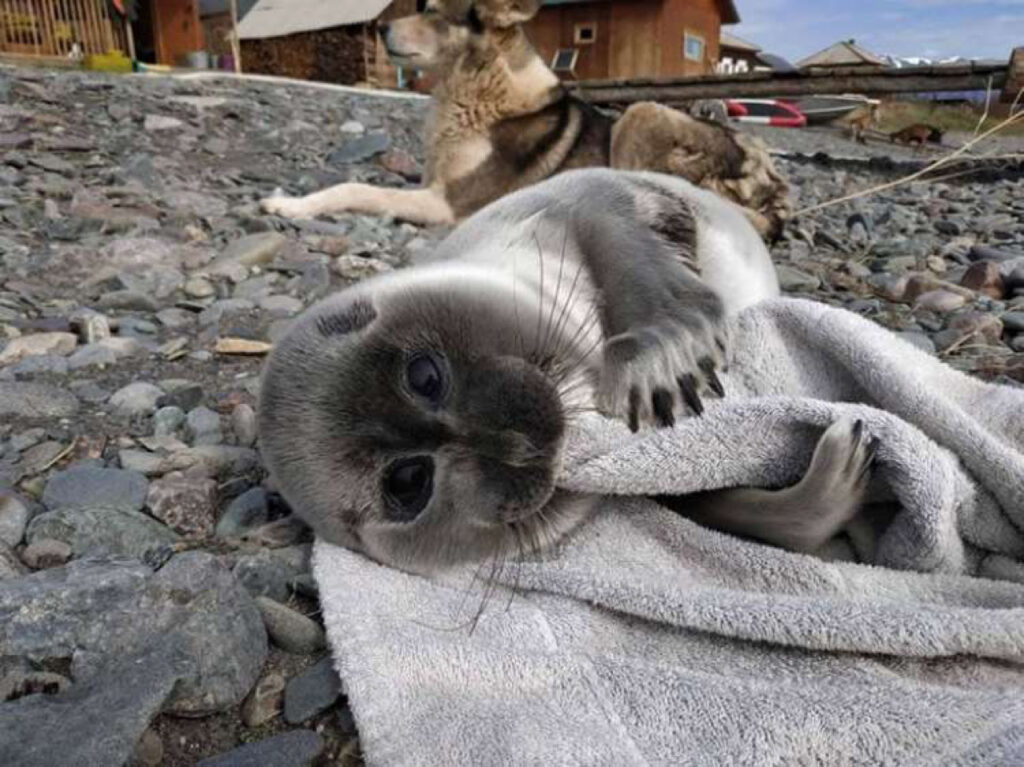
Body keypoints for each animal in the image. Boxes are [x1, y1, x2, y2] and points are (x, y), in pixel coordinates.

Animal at [262, 0, 790, 239]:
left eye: (432, 10)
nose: (378, 28)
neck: (477, 88)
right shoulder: (433, 181)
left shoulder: (447, 204)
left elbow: (355, 188)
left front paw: (290, 205)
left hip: (640, 116)